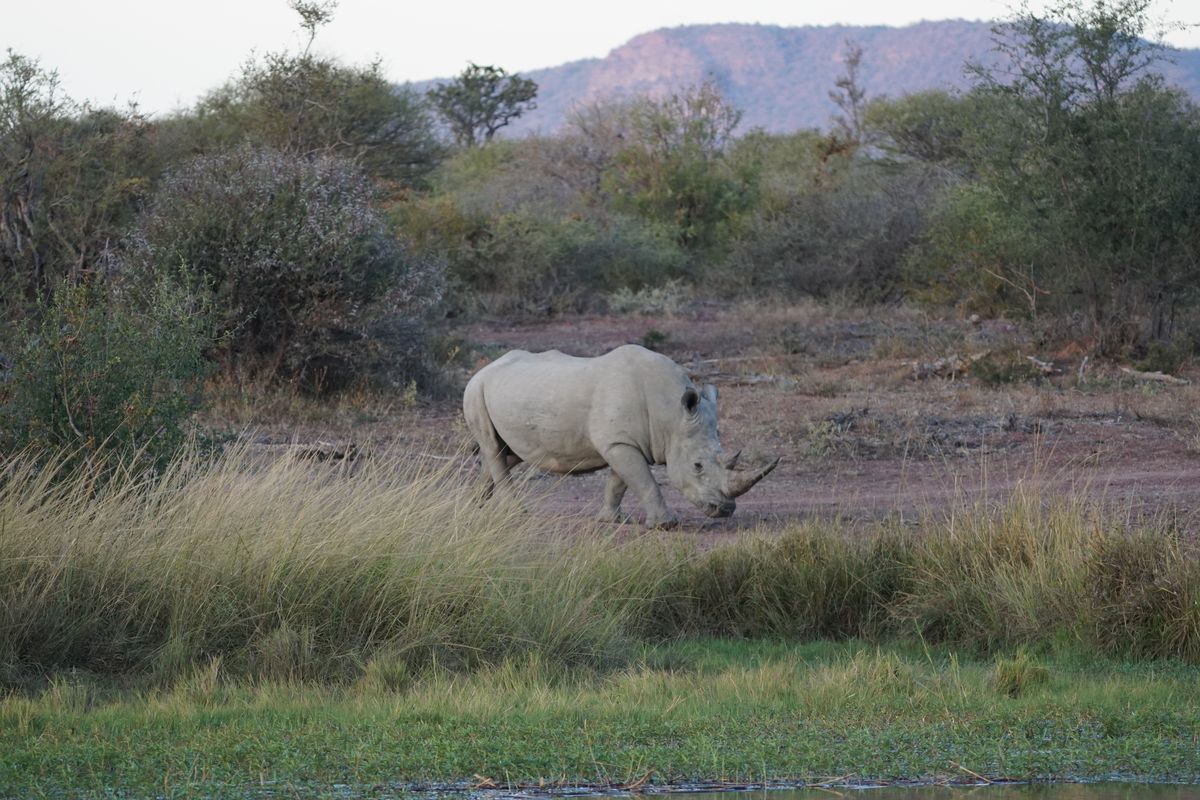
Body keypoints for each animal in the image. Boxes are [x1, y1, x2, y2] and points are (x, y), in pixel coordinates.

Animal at [463, 344, 778, 527]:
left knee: (507, 452)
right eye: (697, 466)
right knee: (492, 447)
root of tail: (484, 368)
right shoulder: (621, 442)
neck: (671, 413)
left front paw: (612, 520)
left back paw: (472, 505)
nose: (724, 510)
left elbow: (621, 481)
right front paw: (665, 525)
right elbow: (644, 481)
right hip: (475, 390)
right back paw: (515, 515)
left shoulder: (623, 441)